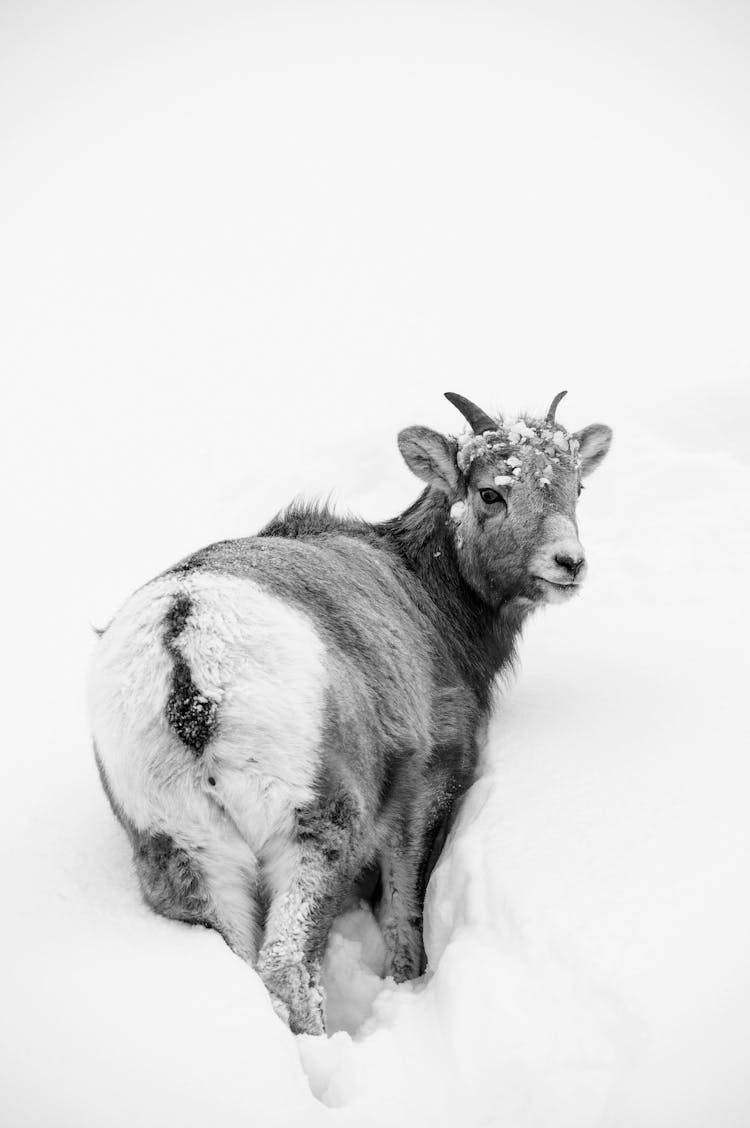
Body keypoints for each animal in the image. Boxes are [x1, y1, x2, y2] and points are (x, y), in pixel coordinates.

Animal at [90, 388, 613, 1033]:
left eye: (576, 487)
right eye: (491, 493)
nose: (569, 562)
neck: (431, 598)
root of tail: (183, 653)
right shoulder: (426, 784)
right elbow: (403, 906)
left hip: (184, 853)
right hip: (319, 828)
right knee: (287, 965)